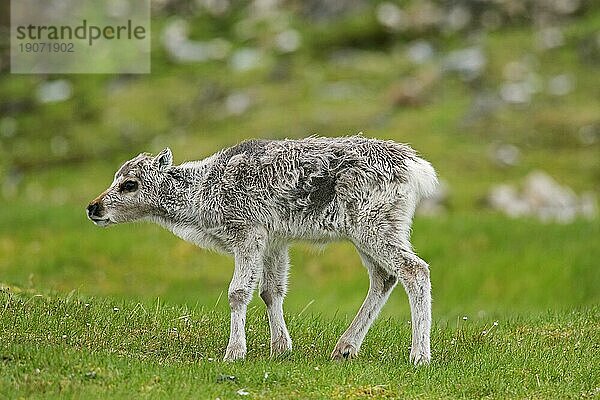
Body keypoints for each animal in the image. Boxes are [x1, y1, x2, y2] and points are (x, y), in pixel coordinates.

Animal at [88, 136, 436, 364]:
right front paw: (280, 348)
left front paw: (234, 353)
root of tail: (416, 167)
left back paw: (419, 355)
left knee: (414, 270)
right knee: (384, 277)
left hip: (373, 225)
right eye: (115, 177)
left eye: (129, 184)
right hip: (368, 231)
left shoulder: (248, 233)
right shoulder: (275, 241)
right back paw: (345, 348)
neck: (201, 194)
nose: (94, 207)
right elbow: (271, 290)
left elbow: (238, 292)